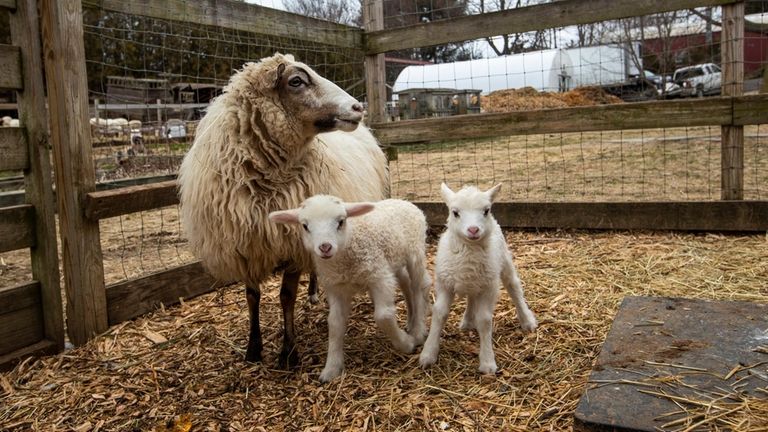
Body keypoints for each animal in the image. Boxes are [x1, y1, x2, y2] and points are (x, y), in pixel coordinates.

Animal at [179, 52, 390, 366]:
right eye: (296, 81)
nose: (357, 108)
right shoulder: (246, 244)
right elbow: (251, 297)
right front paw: (253, 349)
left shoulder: (293, 245)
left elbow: (286, 296)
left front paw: (289, 352)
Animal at [268, 195, 432, 382]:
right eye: (305, 226)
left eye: (341, 221)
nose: (325, 247)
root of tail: (403, 201)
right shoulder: (336, 287)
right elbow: (335, 323)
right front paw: (331, 368)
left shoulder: (379, 276)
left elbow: (383, 316)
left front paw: (406, 344)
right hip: (395, 259)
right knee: (406, 283)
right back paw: (411, 322)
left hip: (415, 251)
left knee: (420, 285)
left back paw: (418, 331)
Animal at [416, 182, 536, 374]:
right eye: (455, 212)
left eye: (486, 210)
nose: (473, 230)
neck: (469, 253)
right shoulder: (445, 283)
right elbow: (440, 313)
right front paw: (428, 354)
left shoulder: (489, 287)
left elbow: (484, 320)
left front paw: (487, 362)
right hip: (474, 280)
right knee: (472, 296)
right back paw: (467, 321)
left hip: (503, 261)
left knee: (514, 287)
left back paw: (527, 321)